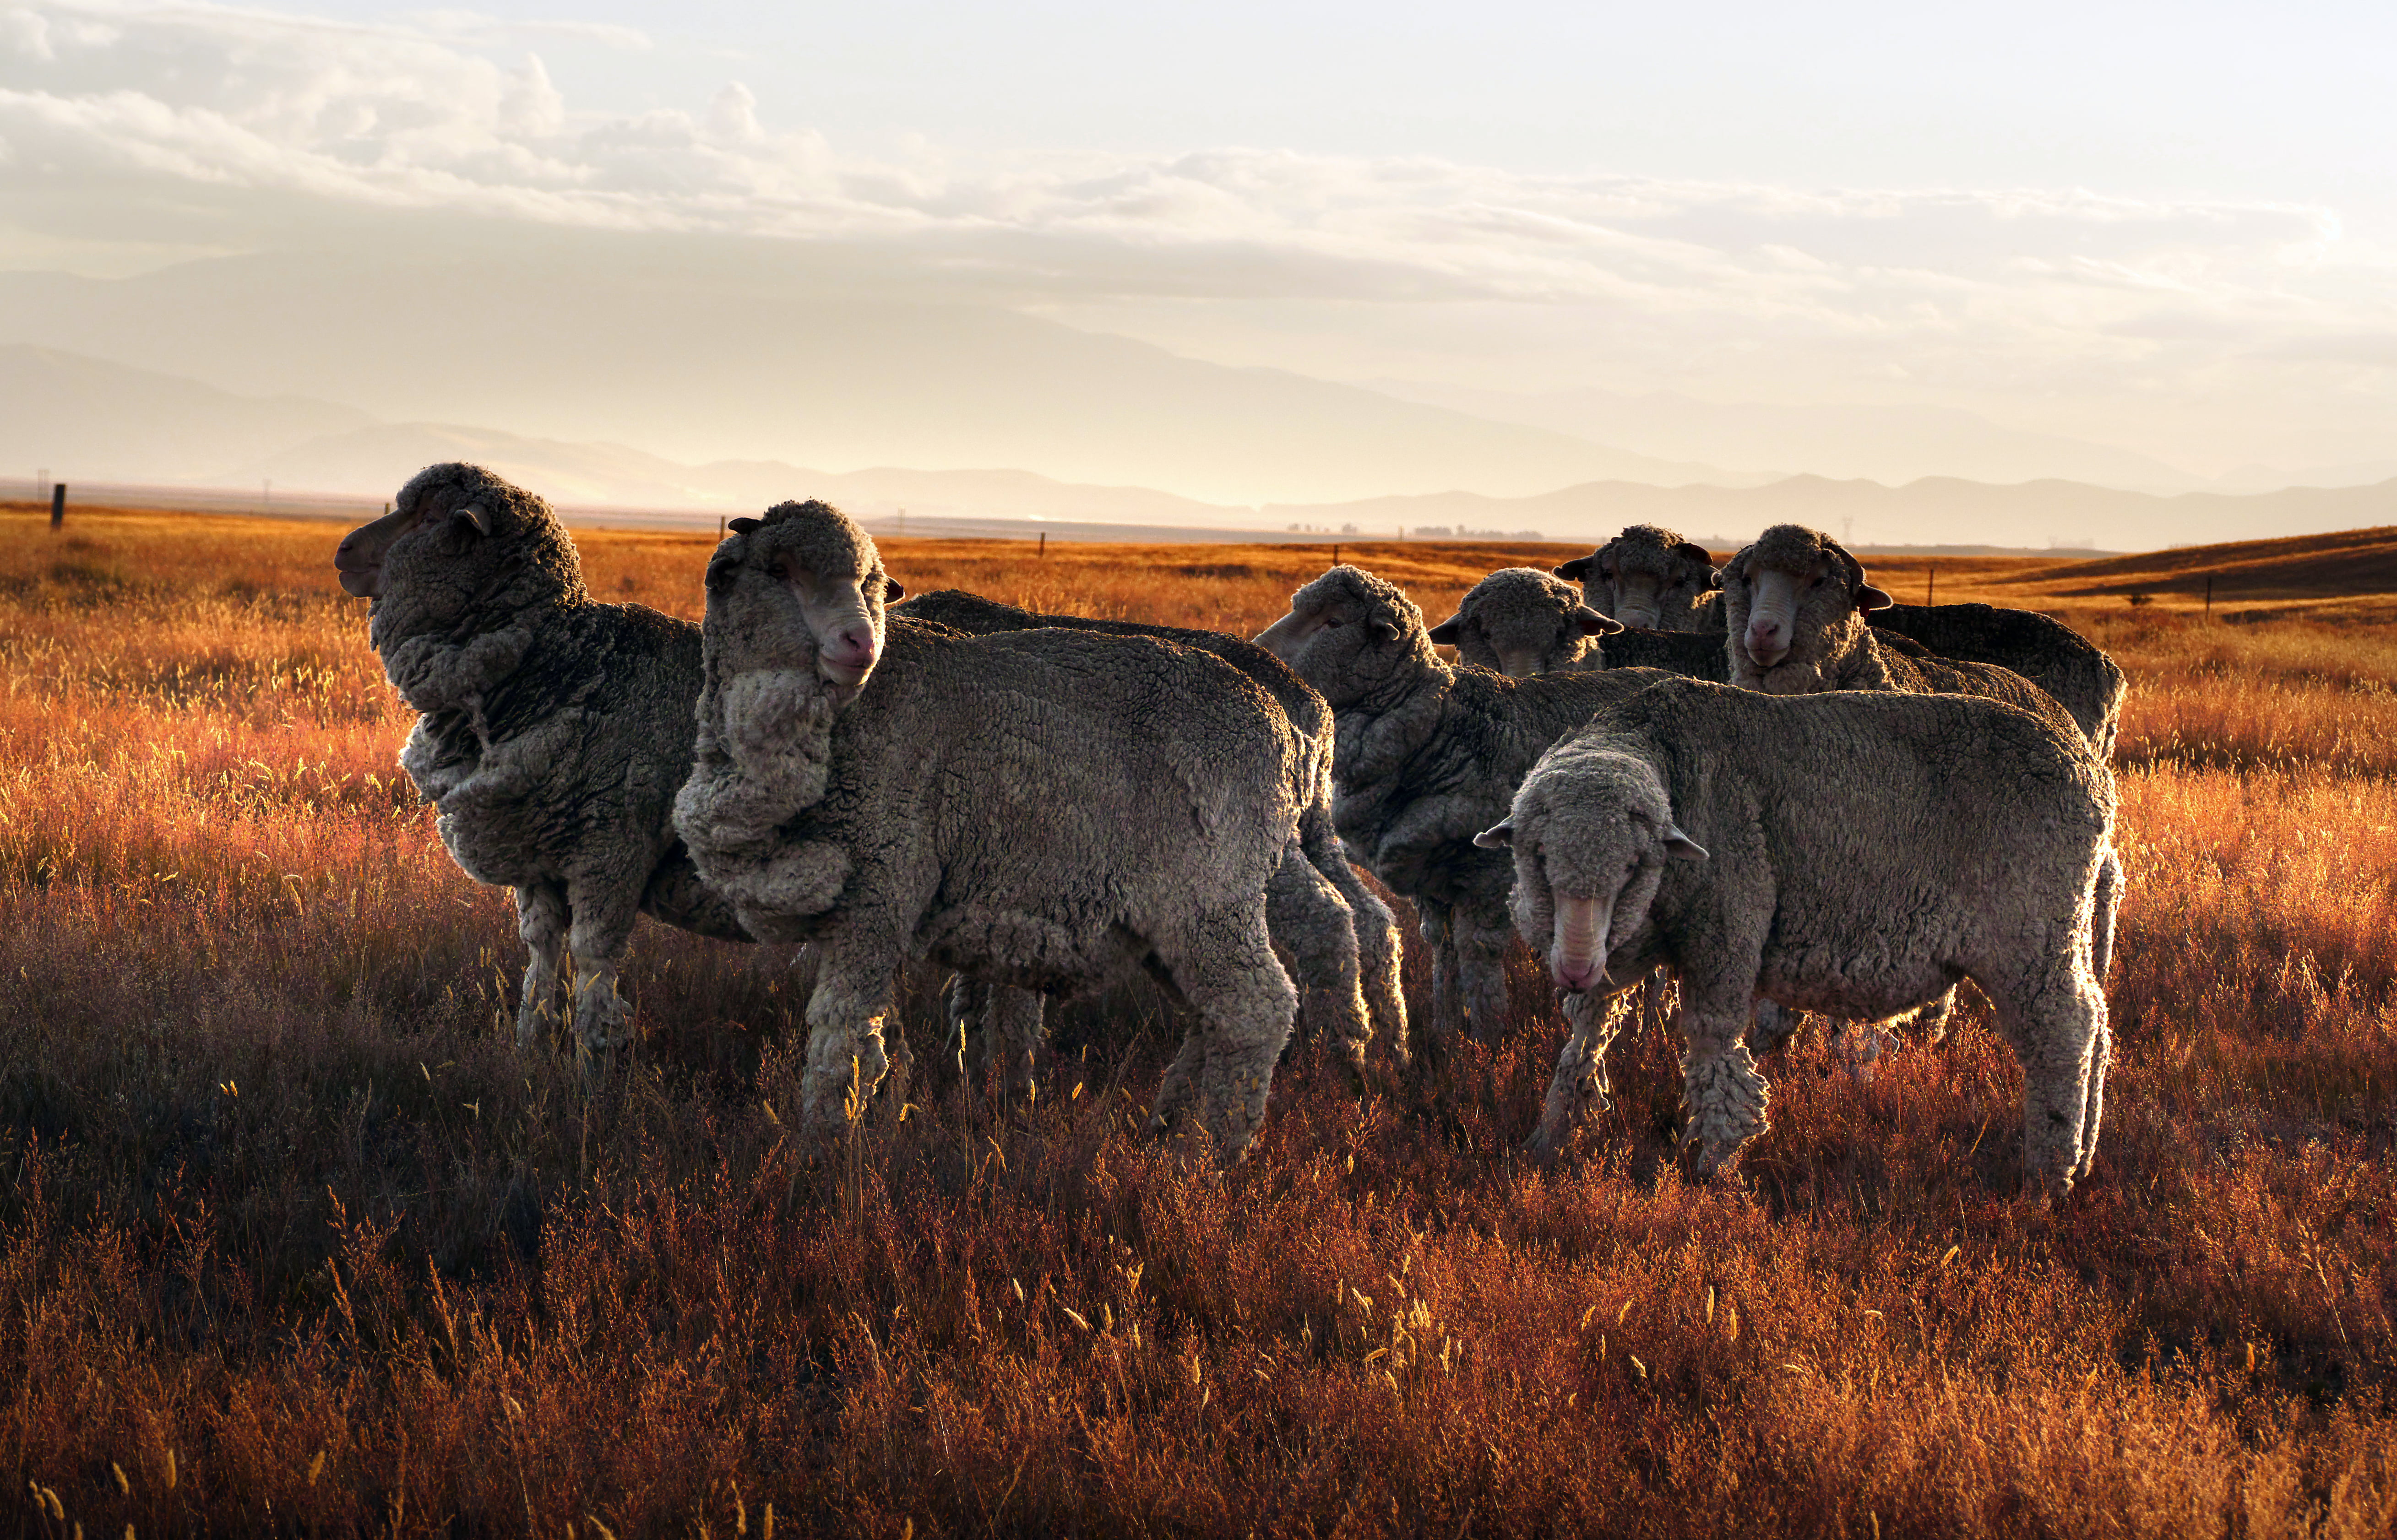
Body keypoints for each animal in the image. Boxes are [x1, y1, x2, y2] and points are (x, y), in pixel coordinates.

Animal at [331, 462, 750, 1056]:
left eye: (431, 517)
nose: (342, 550)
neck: (568, 664)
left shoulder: (611, 852)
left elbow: (594, 966)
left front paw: (594, 1064)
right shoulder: (540, 859)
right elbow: (541, 955)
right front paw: (530, 1048)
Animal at [674, 501, 1307, 1157]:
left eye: (872, 584)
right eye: (779, 570)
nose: (861, 642)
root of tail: (1286, 728)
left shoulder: (881, 892)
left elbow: (842, 1038)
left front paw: (826, 1148)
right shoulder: (847, 911)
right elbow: (880, 1036)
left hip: (1210, 895)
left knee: (1256, 1010)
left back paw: (1210, 1151)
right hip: (1169, 924)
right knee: (1211, 1018)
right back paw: (1171, 1127)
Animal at [892, 589, 1407, 1087]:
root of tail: (1312, 712)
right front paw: (970, 1055)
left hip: (1235, 857)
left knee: (1324, 921)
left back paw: (1339, 1060)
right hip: (1305, 832)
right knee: (1364, 918)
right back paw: (1378, 1051)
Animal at [1252, 565, 1670, 1047]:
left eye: (1333, 622)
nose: (1259, 655)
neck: (1443, 725)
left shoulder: (1485, 875)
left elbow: (1477, 954)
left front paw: (1488, 1039)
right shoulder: (1430, 877)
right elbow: (1442, 946)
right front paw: (1446, 1030)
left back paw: (1654, 1024)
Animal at [1476, 677, 2118, 1192]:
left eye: (1635, 865)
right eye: (1536, 856)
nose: (1574, 967)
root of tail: (2092, 776)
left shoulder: (1726, 931)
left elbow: (1715, 1051)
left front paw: (1715, 1168)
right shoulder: (1624, 950)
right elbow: (1583, 1043)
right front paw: (1548, 1139)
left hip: (2029, 929)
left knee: (2064, 1031)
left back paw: (2049, 1172)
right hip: (2064, 928)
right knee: (2097, 1018)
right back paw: (2084, 1153)